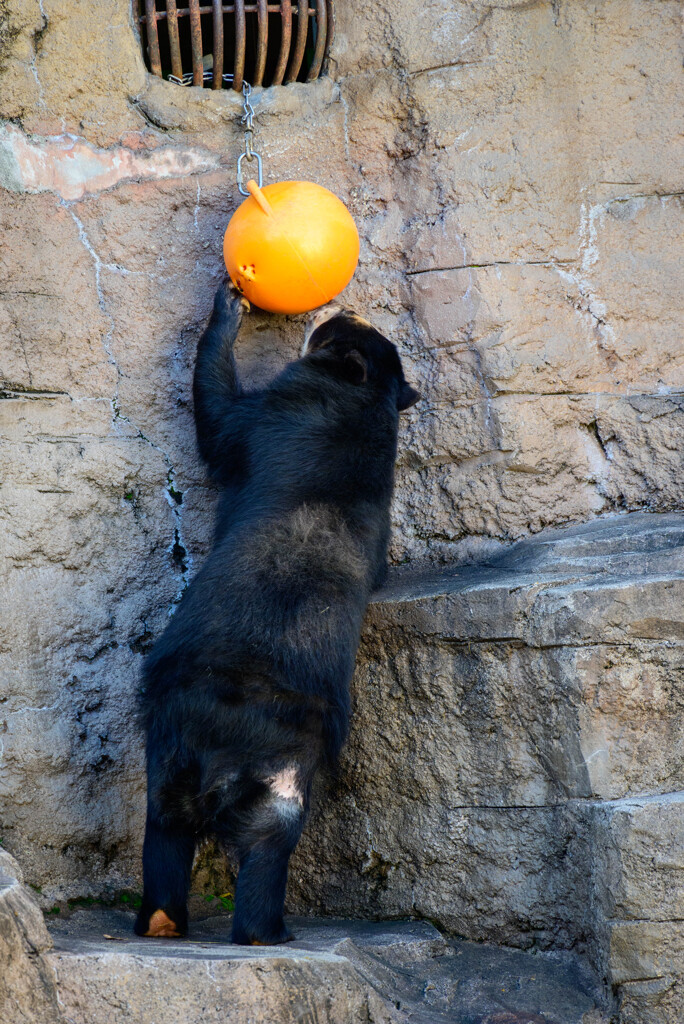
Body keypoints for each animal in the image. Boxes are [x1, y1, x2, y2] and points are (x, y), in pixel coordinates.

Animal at [135, 284, 417, 946]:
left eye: (344, 324)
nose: (341, 305)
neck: (365, 403)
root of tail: (227, 745)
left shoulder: (274, 414)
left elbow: (218, 419)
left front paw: (230, 305)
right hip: (204, 758)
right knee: (179, 833)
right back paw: (171, 922)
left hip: (204, 742)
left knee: (241, 847)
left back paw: (265, 932)